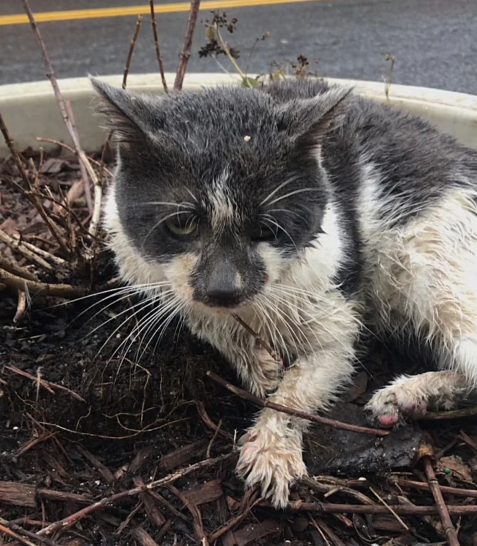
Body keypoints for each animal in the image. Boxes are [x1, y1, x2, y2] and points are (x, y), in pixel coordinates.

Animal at [91, 76, 476, 506]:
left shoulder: (336, 315)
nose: (224, 288)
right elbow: (202, 316)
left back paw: (408, 391)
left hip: (430, 270)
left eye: (266, 229)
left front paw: (272, 449)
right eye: (182, 225)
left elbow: (298, 389)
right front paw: (258, 365)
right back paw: (409, 399)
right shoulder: (151, 275)